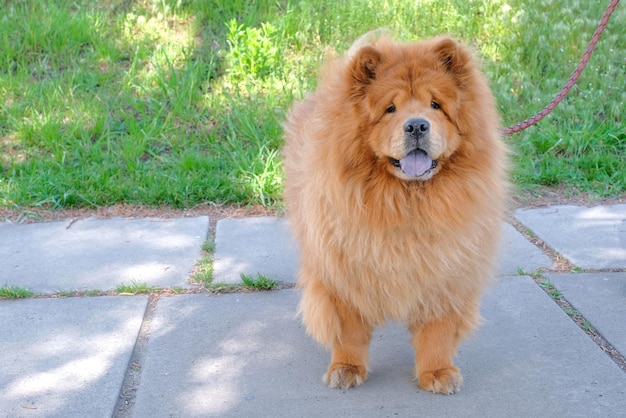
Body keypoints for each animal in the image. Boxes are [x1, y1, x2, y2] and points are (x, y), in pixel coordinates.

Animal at [282, 33, 508, 396]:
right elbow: (348, 329)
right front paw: (346, 368)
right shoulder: (343, 274)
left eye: (435, 105)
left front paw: (437, 372)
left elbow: (437, 332)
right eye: (390, 108)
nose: (416, 125)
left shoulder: (446, 274)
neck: (406, 203)